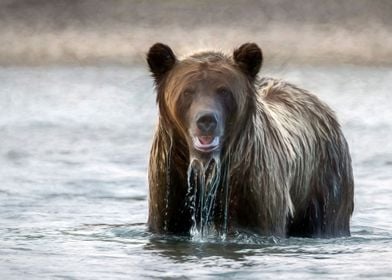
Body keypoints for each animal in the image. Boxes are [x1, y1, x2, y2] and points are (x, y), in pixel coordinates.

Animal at [145, 42, 354, 237]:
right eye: (187, 91)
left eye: (223, 91)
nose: (206, 120)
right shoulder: (169, 184)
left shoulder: (254, 186)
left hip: (325, 180)